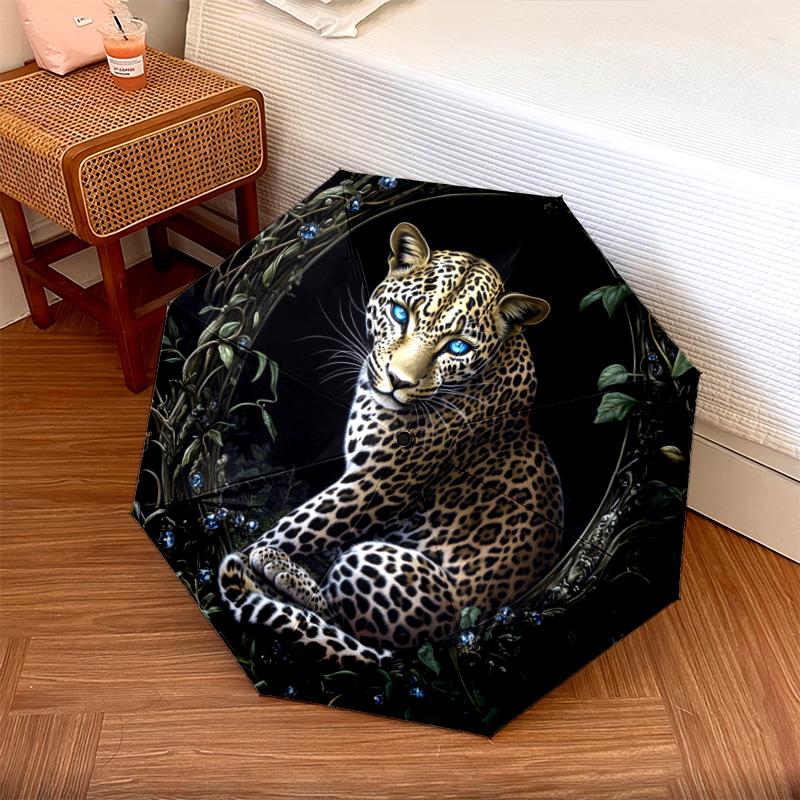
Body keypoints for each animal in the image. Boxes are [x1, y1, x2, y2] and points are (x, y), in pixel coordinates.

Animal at [219, 222, 564, 667]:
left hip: (374, 563)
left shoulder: (378, 483)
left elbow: (304, 524)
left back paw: (281, 572)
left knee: (343, 622)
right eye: (401, 314)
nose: (398, 380)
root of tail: (450, 637)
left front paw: (256, 553)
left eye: (458, 347)